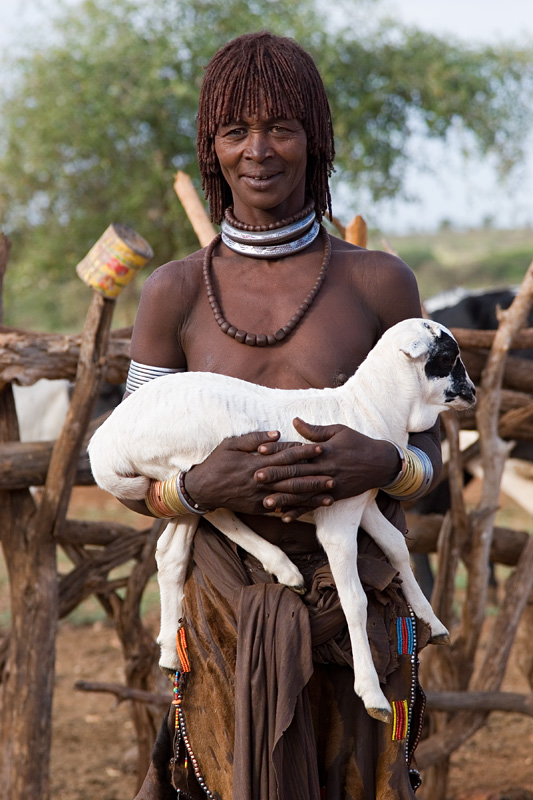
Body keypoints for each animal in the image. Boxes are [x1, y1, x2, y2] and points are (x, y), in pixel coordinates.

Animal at [88, 318, 476, 722]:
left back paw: (168, 651)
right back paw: (284, 569)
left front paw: (434, 624)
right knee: (220, 512)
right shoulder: (337, 520)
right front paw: (373, 695)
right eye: (447, 356)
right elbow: (355, 600)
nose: (473, 394)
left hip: (172, 478)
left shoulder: (361, 500)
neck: (369, 408)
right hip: (194, 461)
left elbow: (396, 547)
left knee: (171, 550)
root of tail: (105, 444)